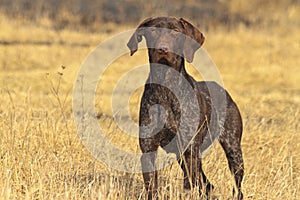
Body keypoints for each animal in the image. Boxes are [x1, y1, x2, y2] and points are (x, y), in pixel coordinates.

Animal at [126, 16, 244, 199]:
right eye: (153, 30)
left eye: (176, 31)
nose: (163, 49)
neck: (166, 88)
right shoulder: (149, 150)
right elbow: (152, 187)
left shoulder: (189, 152)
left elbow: (189, 187)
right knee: (207, 185)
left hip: (233, 150)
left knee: (236, 189)